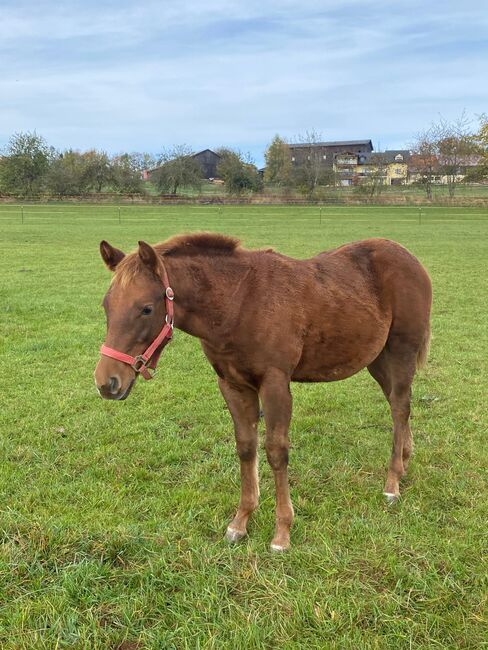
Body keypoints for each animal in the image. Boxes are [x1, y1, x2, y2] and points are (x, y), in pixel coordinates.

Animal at [94, 233, 430, 548]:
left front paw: (282, 532)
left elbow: (276, 451)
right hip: (377, 358)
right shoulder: (232, 384)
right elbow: (246, 447)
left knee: (400, 406)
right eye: (106, 306)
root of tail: (411, 259)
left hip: (401, 350)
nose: (107, 382)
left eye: (146, 309)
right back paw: (405, 461)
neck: (239, 302)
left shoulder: (275, 383)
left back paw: (392, 482)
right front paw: (240, 522)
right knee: (398, 405)